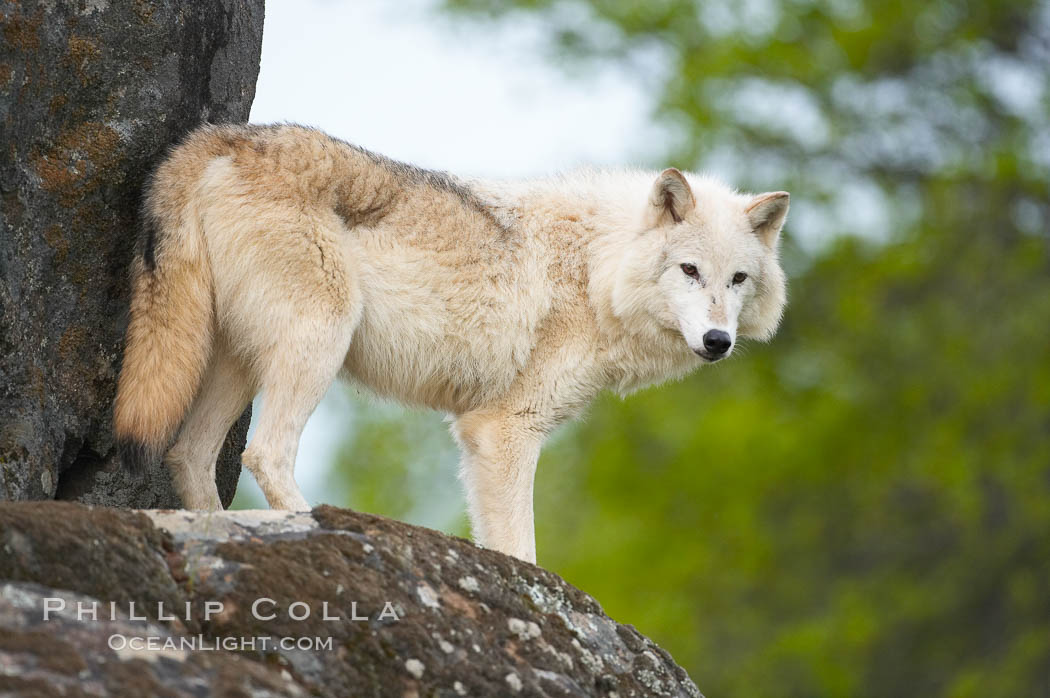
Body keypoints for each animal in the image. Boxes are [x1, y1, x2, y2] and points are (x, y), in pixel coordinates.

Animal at [114, 123, 789, 562]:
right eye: (689, 271)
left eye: (737, 279)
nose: (717, 340)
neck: (597, 272)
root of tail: (218, 137)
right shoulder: (504, 429)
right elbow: (521, 549)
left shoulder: (478, 435)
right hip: (317, 344)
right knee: (265, 455)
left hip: (241, 364)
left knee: (189, 454)